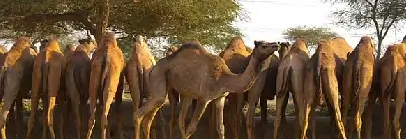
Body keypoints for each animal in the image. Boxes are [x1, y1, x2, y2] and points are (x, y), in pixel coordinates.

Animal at [132, 39, 280, 139]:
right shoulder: (204, 98)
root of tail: (154, 67)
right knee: (138, 114)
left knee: (156, 120)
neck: (224, 78)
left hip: (182, 93)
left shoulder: (220, 98)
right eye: (264, 45)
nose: (276, 44)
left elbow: (221, 127)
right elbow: (192, 128)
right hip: (159, 79)